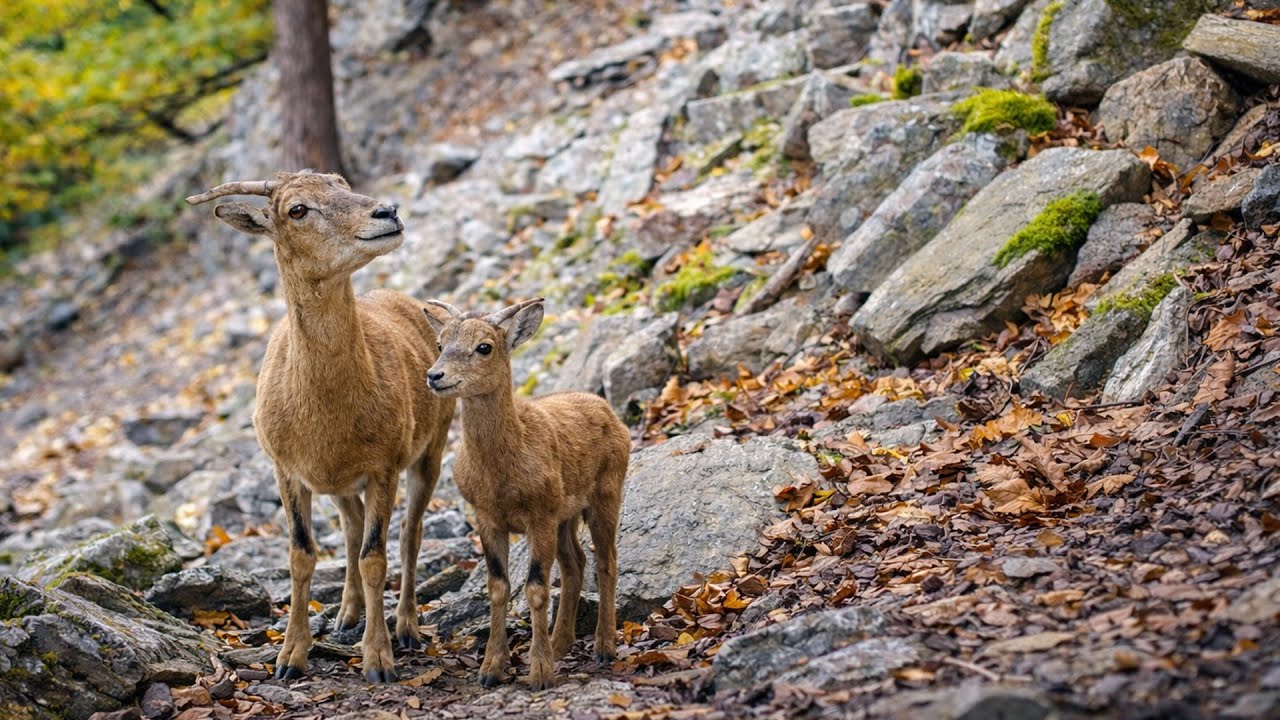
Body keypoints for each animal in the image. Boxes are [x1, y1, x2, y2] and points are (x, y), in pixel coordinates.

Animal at [186, 171, 455, 683]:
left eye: (343, 183)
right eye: (297, 210)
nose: (387, 212)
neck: (325, 416)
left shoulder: (384, 465)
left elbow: (375, 556)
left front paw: (379, 660)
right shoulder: (287, 469)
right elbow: (301, 553)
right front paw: (290, 657)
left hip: (432, 446)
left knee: (409, 532)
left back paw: (407, 627)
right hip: (341, 485)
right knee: (351, 525)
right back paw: (347, 615)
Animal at [422, 298, 630, 690]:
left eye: (484, 347)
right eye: (440, 344)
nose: (434, 376)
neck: (501, 478)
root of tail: (611, 412)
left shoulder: (539, 514)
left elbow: (535, 587)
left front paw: (539, 674)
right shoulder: (485, 516)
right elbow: (498, 585)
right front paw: (491, 669)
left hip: (607, 490)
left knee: (606, 560)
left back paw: (603, 647)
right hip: (565, 514)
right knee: (575, 562)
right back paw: (561, 643)